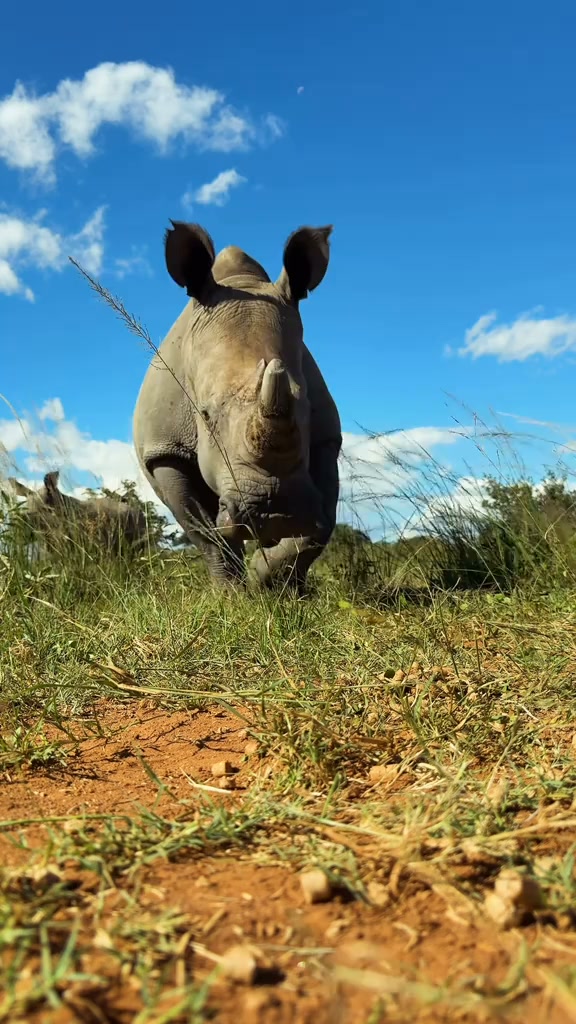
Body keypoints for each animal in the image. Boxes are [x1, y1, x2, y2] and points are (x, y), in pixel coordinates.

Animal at [133, 220, 342, 590]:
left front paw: (273, 582)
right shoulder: (165, 449)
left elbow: (323, 522)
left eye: (306, 408)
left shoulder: (325, 437)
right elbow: (207, 535)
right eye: (204, 415)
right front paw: (230, 594)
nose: (276, 512)